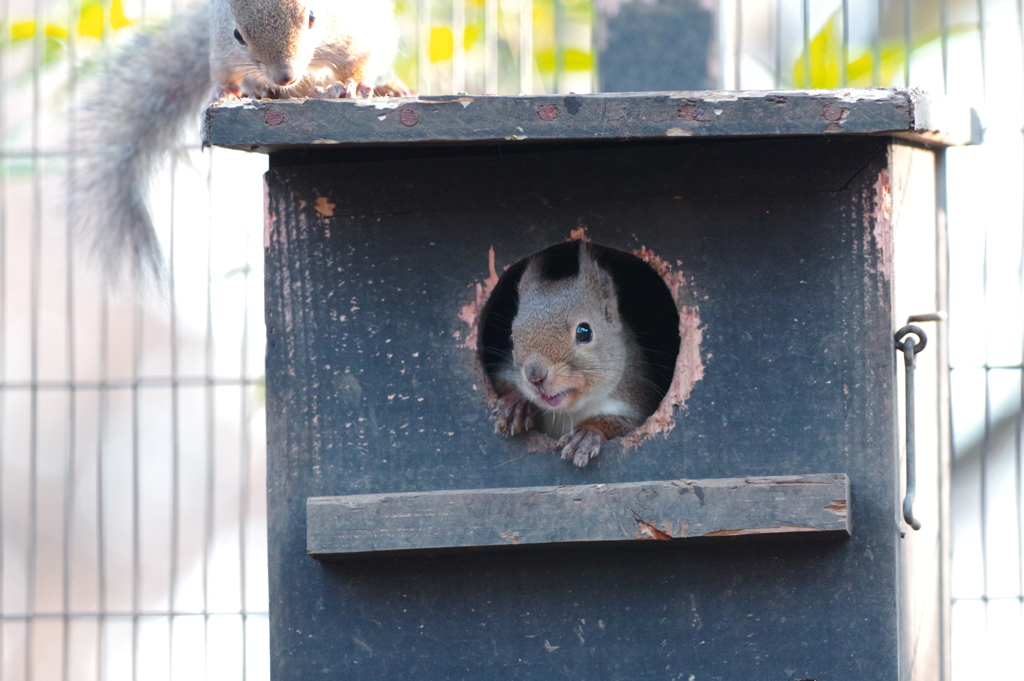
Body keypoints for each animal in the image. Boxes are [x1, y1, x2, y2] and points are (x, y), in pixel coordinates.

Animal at [74, 0, 407, 280]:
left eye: (312, 17)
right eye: (238, 34)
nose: (284, 76)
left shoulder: (357, 31)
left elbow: (362, 61)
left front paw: (351, 86)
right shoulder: (221, 46)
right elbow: (223, 75)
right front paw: (222, 94)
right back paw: (259, 90)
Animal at [489, 240, 667, 466]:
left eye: (584, 332)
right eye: (511, 337)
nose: (535, 377)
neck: (567, 412)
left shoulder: (633, 402)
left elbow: (622, 425)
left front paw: (585, 435)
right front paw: (515, 404)